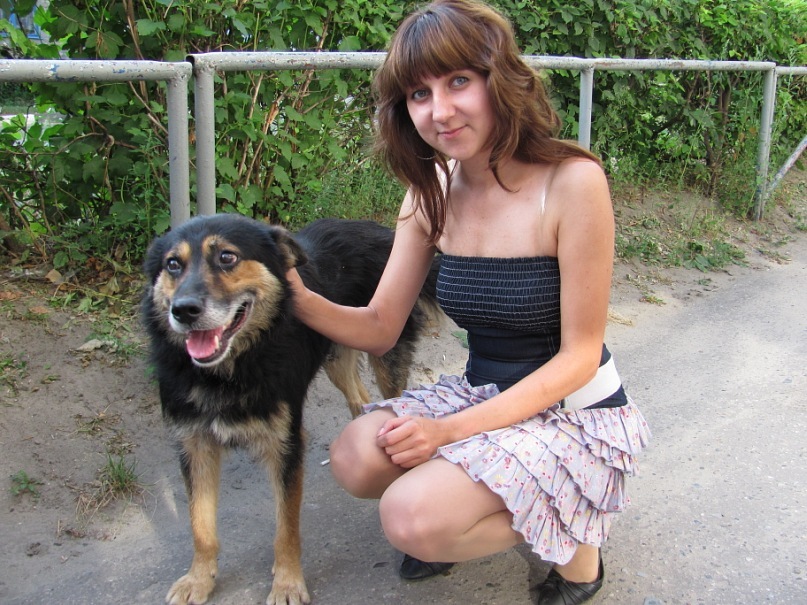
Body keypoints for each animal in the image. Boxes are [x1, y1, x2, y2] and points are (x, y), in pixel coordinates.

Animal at [142, 214, 438, 605]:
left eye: (227, 257)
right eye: (173, 264)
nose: (184, 310)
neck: (230, 372)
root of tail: (380, 231)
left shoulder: (285, 442)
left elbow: (286, 527)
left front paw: (287, 584)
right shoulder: (195, 443)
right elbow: (199, 523)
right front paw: (199, 579)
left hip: (387, 355)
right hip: (339, 357)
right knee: (358, 398)